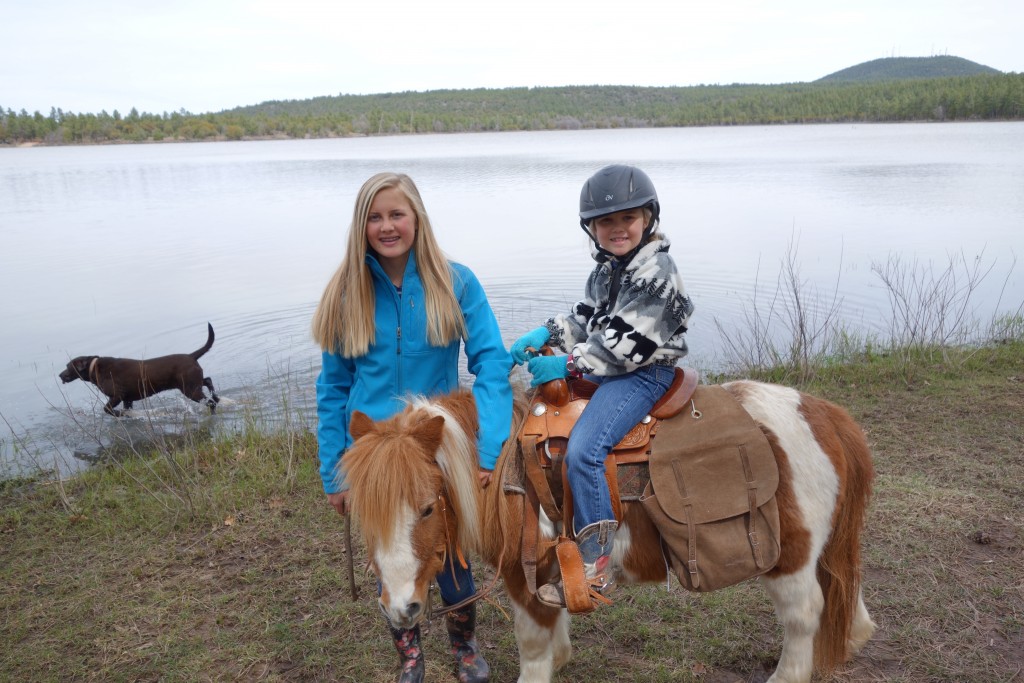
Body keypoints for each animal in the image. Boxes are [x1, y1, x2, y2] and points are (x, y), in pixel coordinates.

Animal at [342, 385, 872, 683]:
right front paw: (564, 656)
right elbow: (557, 624)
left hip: (791, 559)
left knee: (804, 615)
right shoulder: (553, 569)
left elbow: (532, 646)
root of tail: (825, 415)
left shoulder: (524, 575)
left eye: (428, 507)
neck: (506, 470)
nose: (399, 608)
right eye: (364, 514)